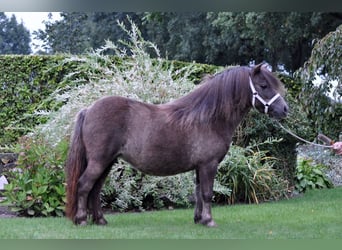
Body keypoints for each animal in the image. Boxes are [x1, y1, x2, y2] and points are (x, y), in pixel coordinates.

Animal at [65, 62, 288, 227]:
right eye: (264, 85)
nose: (285, 109)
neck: (209, 119)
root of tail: (89, 109)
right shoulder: (209, 164)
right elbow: (207, 193)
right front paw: (209, 221)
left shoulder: (200, 167)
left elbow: (198, 193)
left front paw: (199, 219)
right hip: (99, 162)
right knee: (84, 185)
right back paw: (82, 220)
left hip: (107, 163)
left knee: (95, 189)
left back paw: (100, 220)